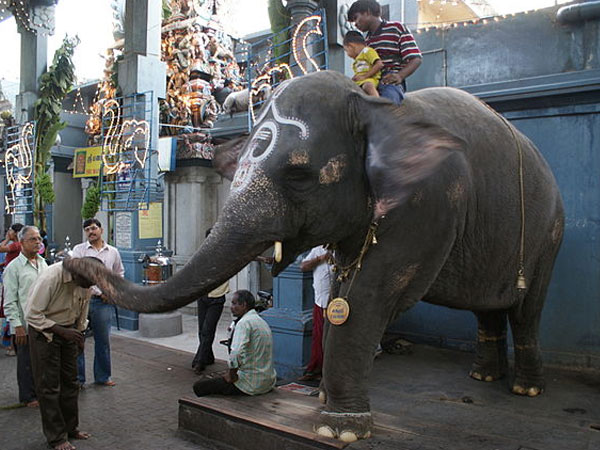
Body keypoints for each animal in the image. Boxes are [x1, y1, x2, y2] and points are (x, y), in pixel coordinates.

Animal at [65, 71, 564, 442]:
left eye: (300, 175)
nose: (73, 262)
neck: (371, 107)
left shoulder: (429, 203)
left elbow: (368, 297)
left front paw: (339, 428)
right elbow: (345, 288)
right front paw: (326, 402)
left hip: (549, 232)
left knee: (527, 309)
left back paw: (525, 388)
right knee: (489, 309)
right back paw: (483, 378)